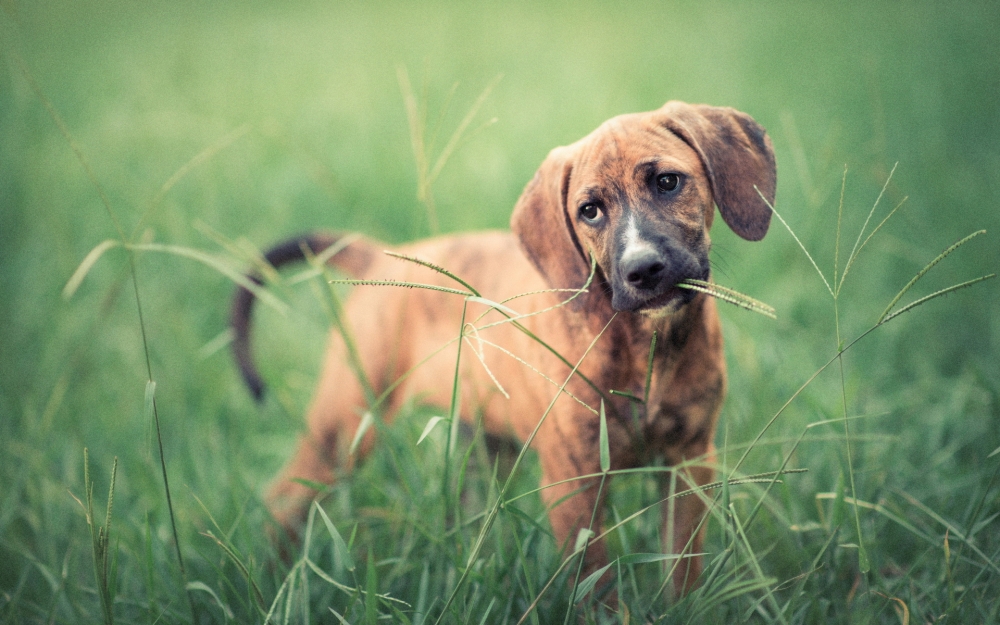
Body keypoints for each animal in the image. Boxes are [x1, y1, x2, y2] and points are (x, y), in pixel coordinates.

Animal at [232, 98, 772, 596]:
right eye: (589, 211)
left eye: (667, 182)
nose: (642, 270)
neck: (646, 344)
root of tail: (378, 260)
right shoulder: (573, 483)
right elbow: (596, 591)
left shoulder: (689, 463)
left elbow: (681, 574)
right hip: (344, 424)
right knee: (283, 498)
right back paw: (269, 583)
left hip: (482, 442)